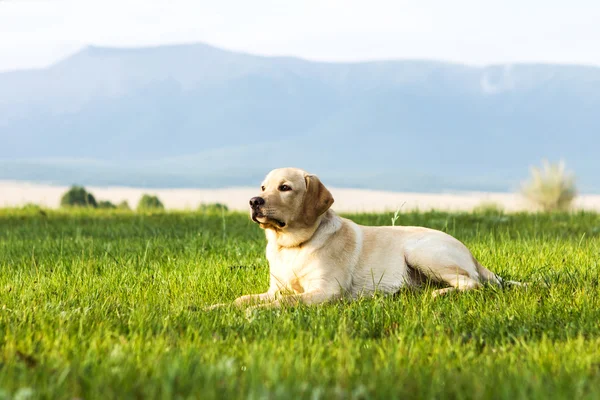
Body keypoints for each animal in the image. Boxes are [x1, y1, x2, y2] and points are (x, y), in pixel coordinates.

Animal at [211, 167, 516, 310]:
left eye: (285, 187)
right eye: (263, 187)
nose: (254, 201)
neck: (292, 245)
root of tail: (469, 252)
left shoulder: (326, 291)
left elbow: (288, 302)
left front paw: (257, 312)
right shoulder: (275, 288)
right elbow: (241, 299)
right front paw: (215, 307)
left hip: (421, 251)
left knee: (472, 283)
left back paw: (439, 294)